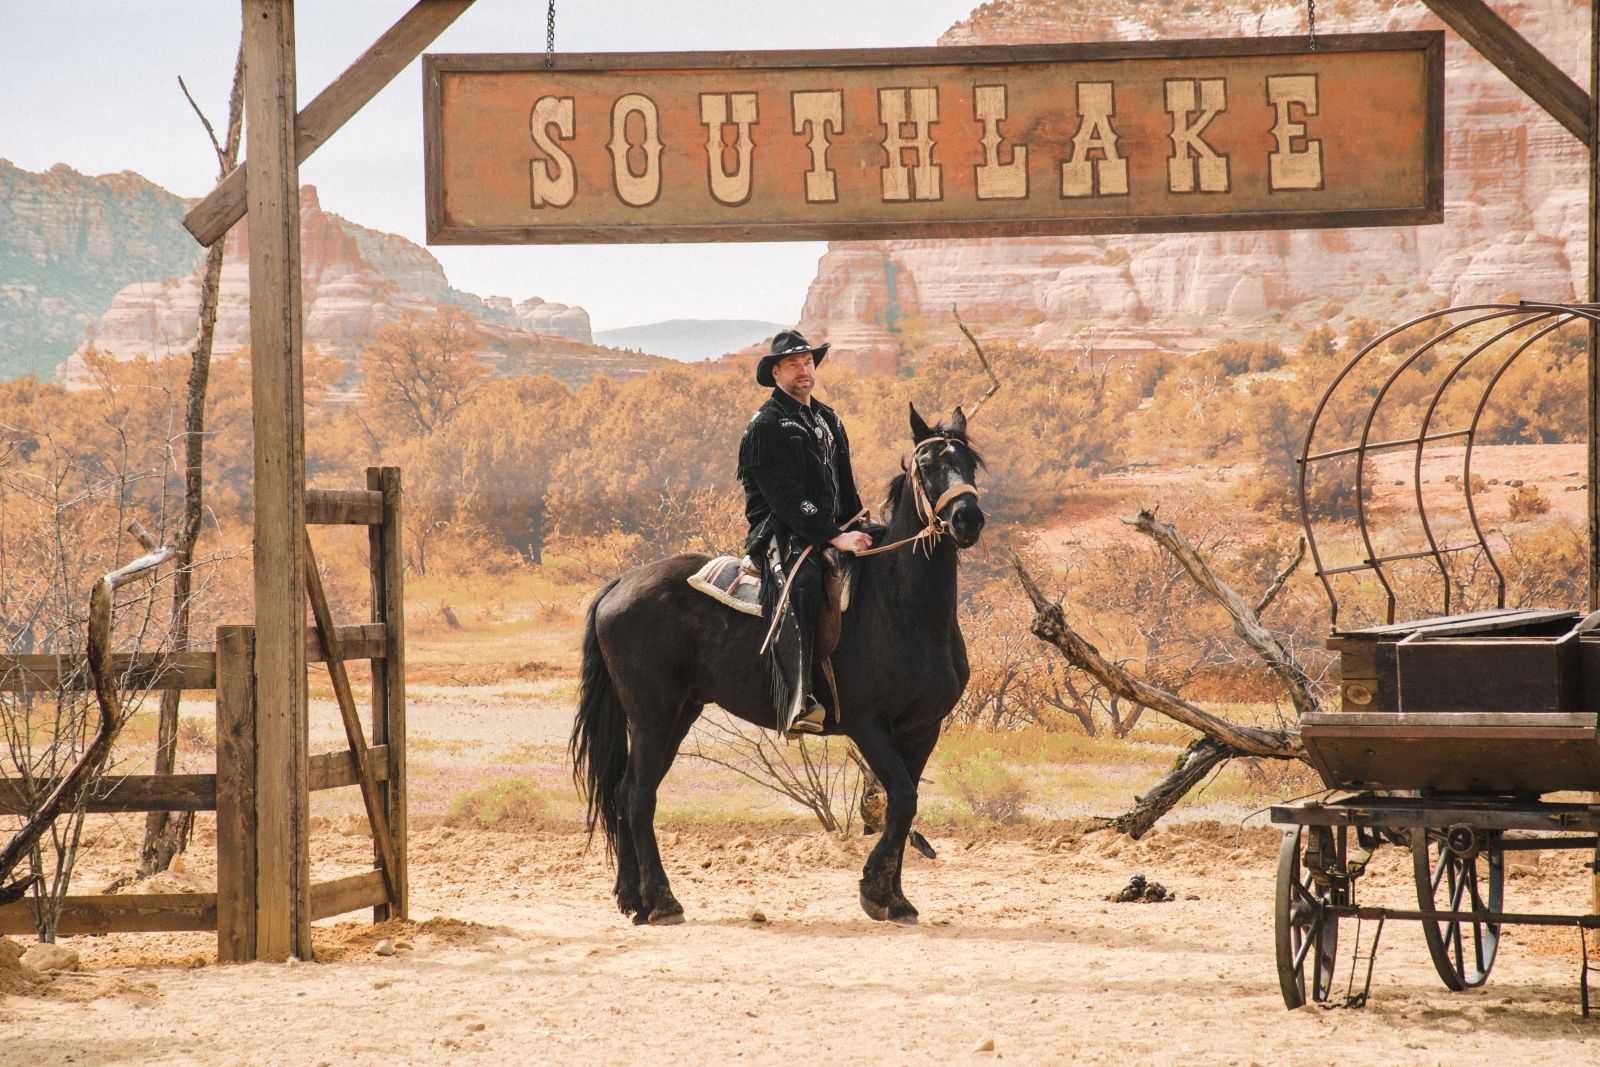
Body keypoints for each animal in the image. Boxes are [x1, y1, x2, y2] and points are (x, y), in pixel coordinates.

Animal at [569, 404, 979, 921]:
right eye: (925, 465)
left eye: (970, 463)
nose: (968, 518)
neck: (900, 606)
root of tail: (621, 583)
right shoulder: (869, 725)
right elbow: (902, 800)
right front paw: (874, 891)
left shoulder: (923, 728)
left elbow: (905, 805)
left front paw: (895, 898)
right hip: (652, 715)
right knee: (638, 796)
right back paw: (663, 901)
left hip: (679, 712)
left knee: (625, 793)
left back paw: (632, 898)